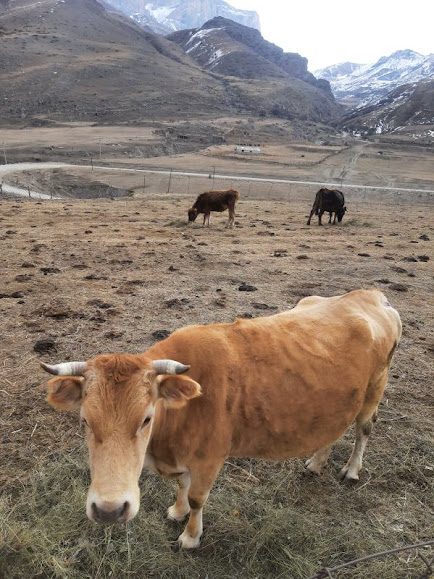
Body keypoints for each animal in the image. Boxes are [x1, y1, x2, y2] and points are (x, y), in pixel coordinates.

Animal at [42, 290, 402, 548]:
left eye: (146, 419)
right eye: (85, 421)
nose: (109, 510)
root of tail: (370, 296)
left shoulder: (210, 457)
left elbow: (197, 497)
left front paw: (190, 535)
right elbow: (182, 486)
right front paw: (177, 512)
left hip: (375, 388)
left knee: (364, 428)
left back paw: (352, 470)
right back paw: (316, 462)